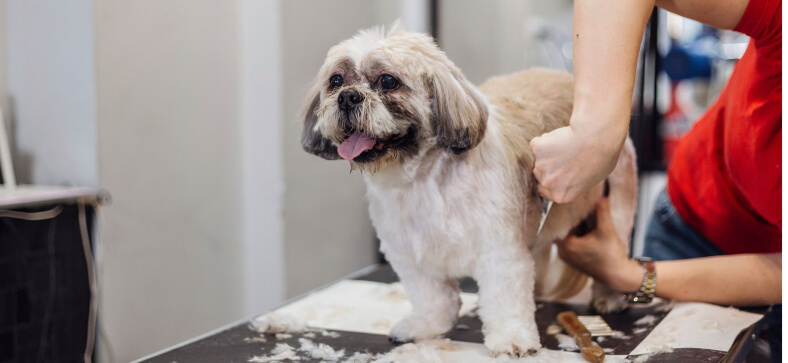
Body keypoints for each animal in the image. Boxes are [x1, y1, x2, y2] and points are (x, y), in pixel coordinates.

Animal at [298, 23, 636, 358]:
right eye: (335, 80)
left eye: (388, 81)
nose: (348, 97)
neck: (422, 181)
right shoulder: (410, 254)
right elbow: (433, 298)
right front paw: (425, 326)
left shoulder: (500, 252)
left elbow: (505, 299)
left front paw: (513, 339)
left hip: (618, 201)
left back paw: (608, 297)